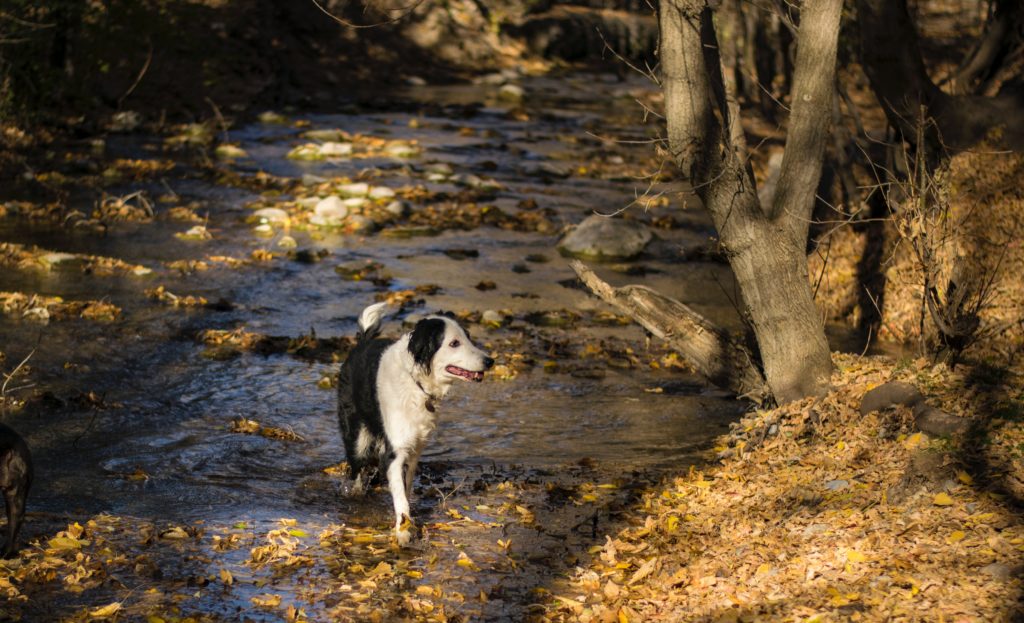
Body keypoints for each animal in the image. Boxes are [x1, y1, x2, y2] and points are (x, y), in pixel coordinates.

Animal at [337, 303, 493, 545]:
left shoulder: (415, 448)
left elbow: (406, 486)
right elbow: (400, 496)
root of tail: (362, 342)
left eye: (468, 337)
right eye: (454, 343)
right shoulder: (396, 451)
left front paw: (407, 521)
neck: (416, 381)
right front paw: (403, 532)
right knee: (356, 469)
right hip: (358, 439)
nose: (490, 361)